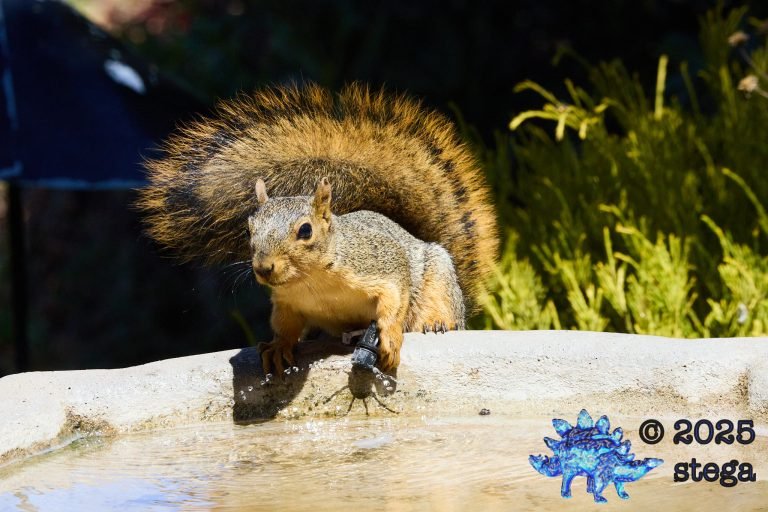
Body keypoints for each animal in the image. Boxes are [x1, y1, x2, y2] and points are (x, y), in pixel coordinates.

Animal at [137, 83, 498, 375]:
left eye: (306, 231)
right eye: (249, 229)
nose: (264, 268)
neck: (314, 281)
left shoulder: (380, 266)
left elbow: (393, 301)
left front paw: (390, 340)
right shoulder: (286, 302)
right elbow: (285, 326)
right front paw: (278, 347)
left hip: (438, 277)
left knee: (438, 306)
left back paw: (436, 322)